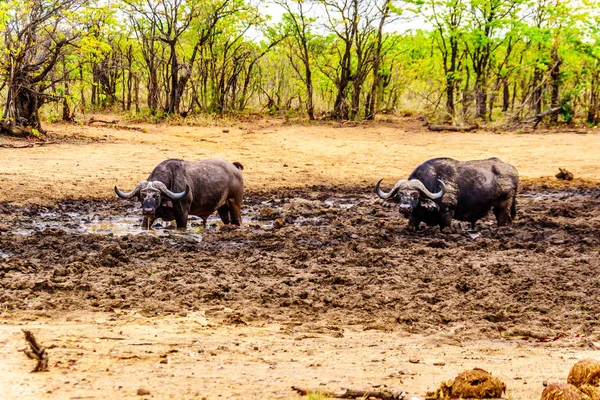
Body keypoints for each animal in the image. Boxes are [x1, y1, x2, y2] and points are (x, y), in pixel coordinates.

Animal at [376, 157, 520, 231]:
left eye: (415, 195)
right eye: (399, 195)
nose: (405, 208)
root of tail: (512, 169)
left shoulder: (447, 214)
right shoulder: (414, 217)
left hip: (503, 206)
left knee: (504, 221)